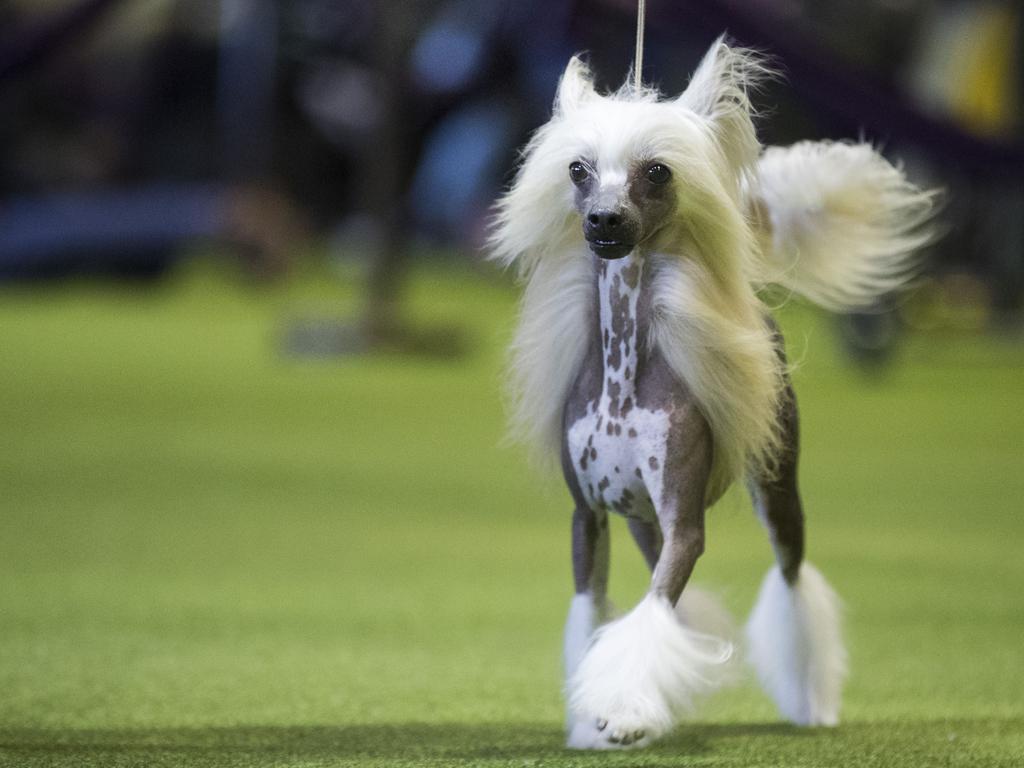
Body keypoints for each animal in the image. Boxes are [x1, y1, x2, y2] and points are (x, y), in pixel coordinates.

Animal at [487, 37, 937, 753]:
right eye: (579, 170)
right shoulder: (590, 519)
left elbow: (650, 613)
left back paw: (812, 702)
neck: (624, 372)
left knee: (792, 576)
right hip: (640, 520)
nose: (603, 220)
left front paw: (625, 710)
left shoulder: (683, 521)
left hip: (777, 491)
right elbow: (597, 615)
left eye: (657, 171)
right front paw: (595, 719)